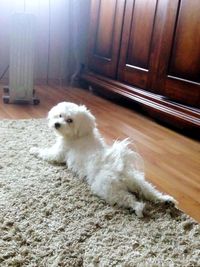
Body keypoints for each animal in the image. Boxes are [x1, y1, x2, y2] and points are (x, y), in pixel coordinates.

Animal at [29, 102, 177, 218]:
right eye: (60, 115)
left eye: (70, 120)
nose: (57, 124)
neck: (81, 135)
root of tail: (120, 169)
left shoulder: (59, 152)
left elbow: (46, 153)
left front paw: (33, 149)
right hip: (137, 182)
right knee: (149, 192)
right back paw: (166, 200)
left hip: (107, 188)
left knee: (129, 199)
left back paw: (138, 209)